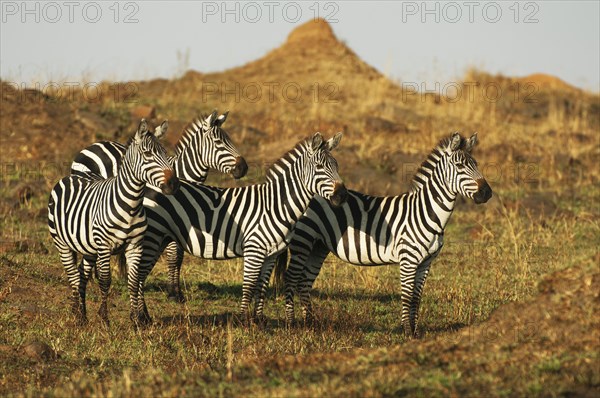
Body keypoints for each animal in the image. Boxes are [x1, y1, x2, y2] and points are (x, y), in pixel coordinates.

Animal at [48, 119, 179, 324]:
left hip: (89, 248)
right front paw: (104, 317)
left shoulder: (135, 246)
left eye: (165, 153)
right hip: (62, 243)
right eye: (148, 154)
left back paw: (82, 314)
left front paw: (136, 319)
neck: (131, 205)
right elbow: (105, 280)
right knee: (73, 276)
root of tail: (71, 176)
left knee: (82, 274)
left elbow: (133, 281)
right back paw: (77, 315)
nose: (174, 184)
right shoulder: (104, 246)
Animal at [70, 110, 248, 300]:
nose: (244, 167)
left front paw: (177, 291)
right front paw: (173, 293)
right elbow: (173, 256)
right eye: (218, 142)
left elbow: (179, 258)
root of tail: (94, 144)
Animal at [125, 132, 346, 324]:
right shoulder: (254, 249)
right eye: (319, 166)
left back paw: (145, 316)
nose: (342, 195)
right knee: (137, 275)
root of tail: (149, 185)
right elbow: (249, 286)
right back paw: (139, 318)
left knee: (141, 276)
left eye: (336, 165)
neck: (276, 205)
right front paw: (242, 321)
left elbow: (261, 286)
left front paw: (259, 320)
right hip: (152, 237)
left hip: (158, 239)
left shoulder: (272, 253)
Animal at [276, 133, 492, 336]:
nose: (487, 193)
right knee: (292, 278)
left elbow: (417, 297)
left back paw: (310, 325)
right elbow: (407, 296)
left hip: (318, 246)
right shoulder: (408, 259)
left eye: (476, 164)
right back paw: (291, 325)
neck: (425, 211)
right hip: (302, 241)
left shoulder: (426, 262)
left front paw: (416, 332)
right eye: (460, 166)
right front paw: (407, 332)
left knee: (305, 281)